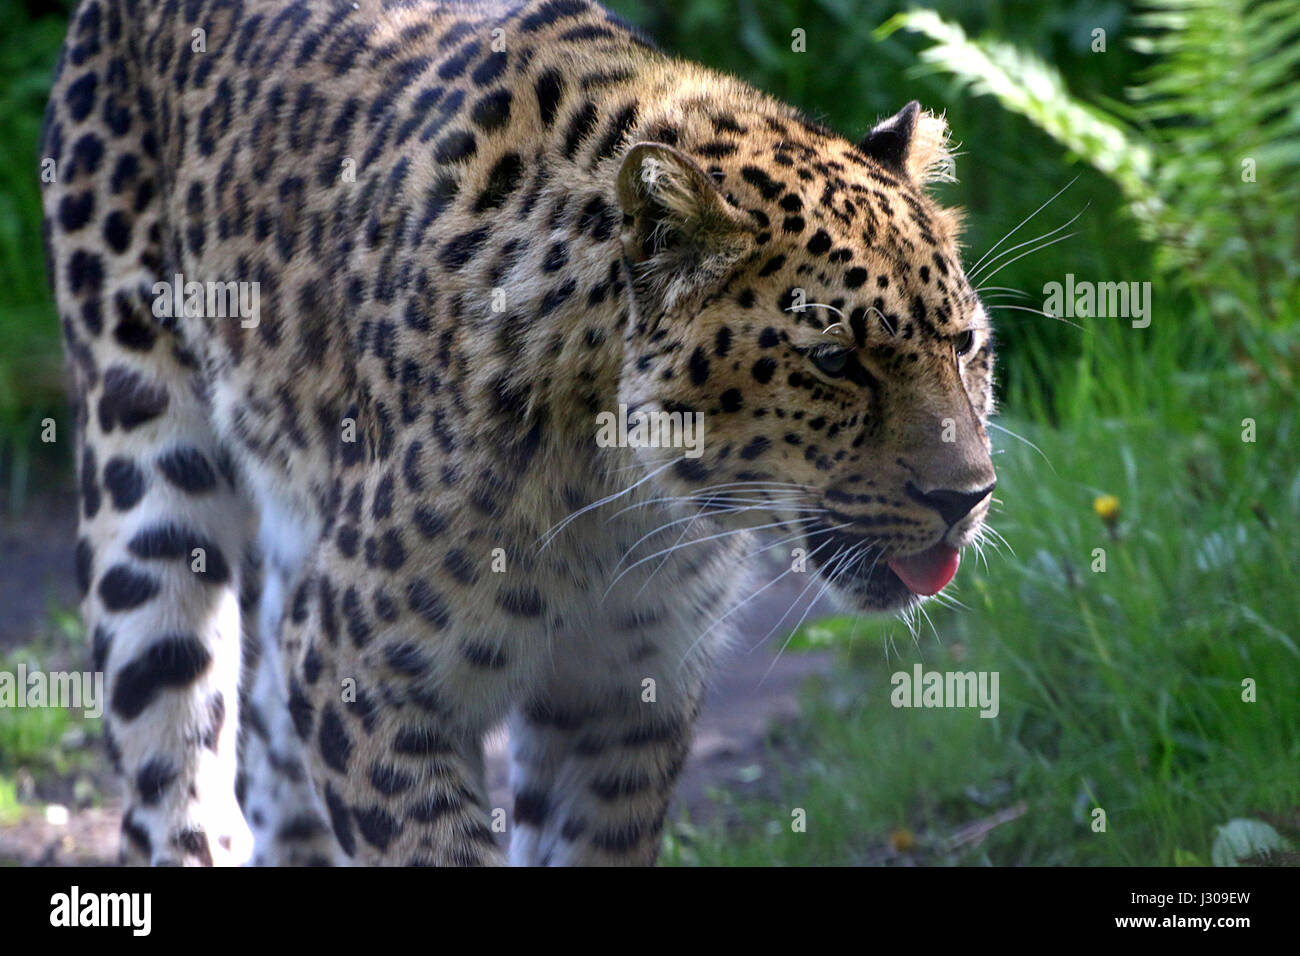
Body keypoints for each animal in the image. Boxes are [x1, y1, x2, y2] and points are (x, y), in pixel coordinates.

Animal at [41, 0, 998, 866]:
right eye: (834, 360)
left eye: (964, 345)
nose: (968, 497)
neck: (625, 500)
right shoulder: (359, 670)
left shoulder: (625, 697)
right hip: (145, 463)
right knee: (168, 764)